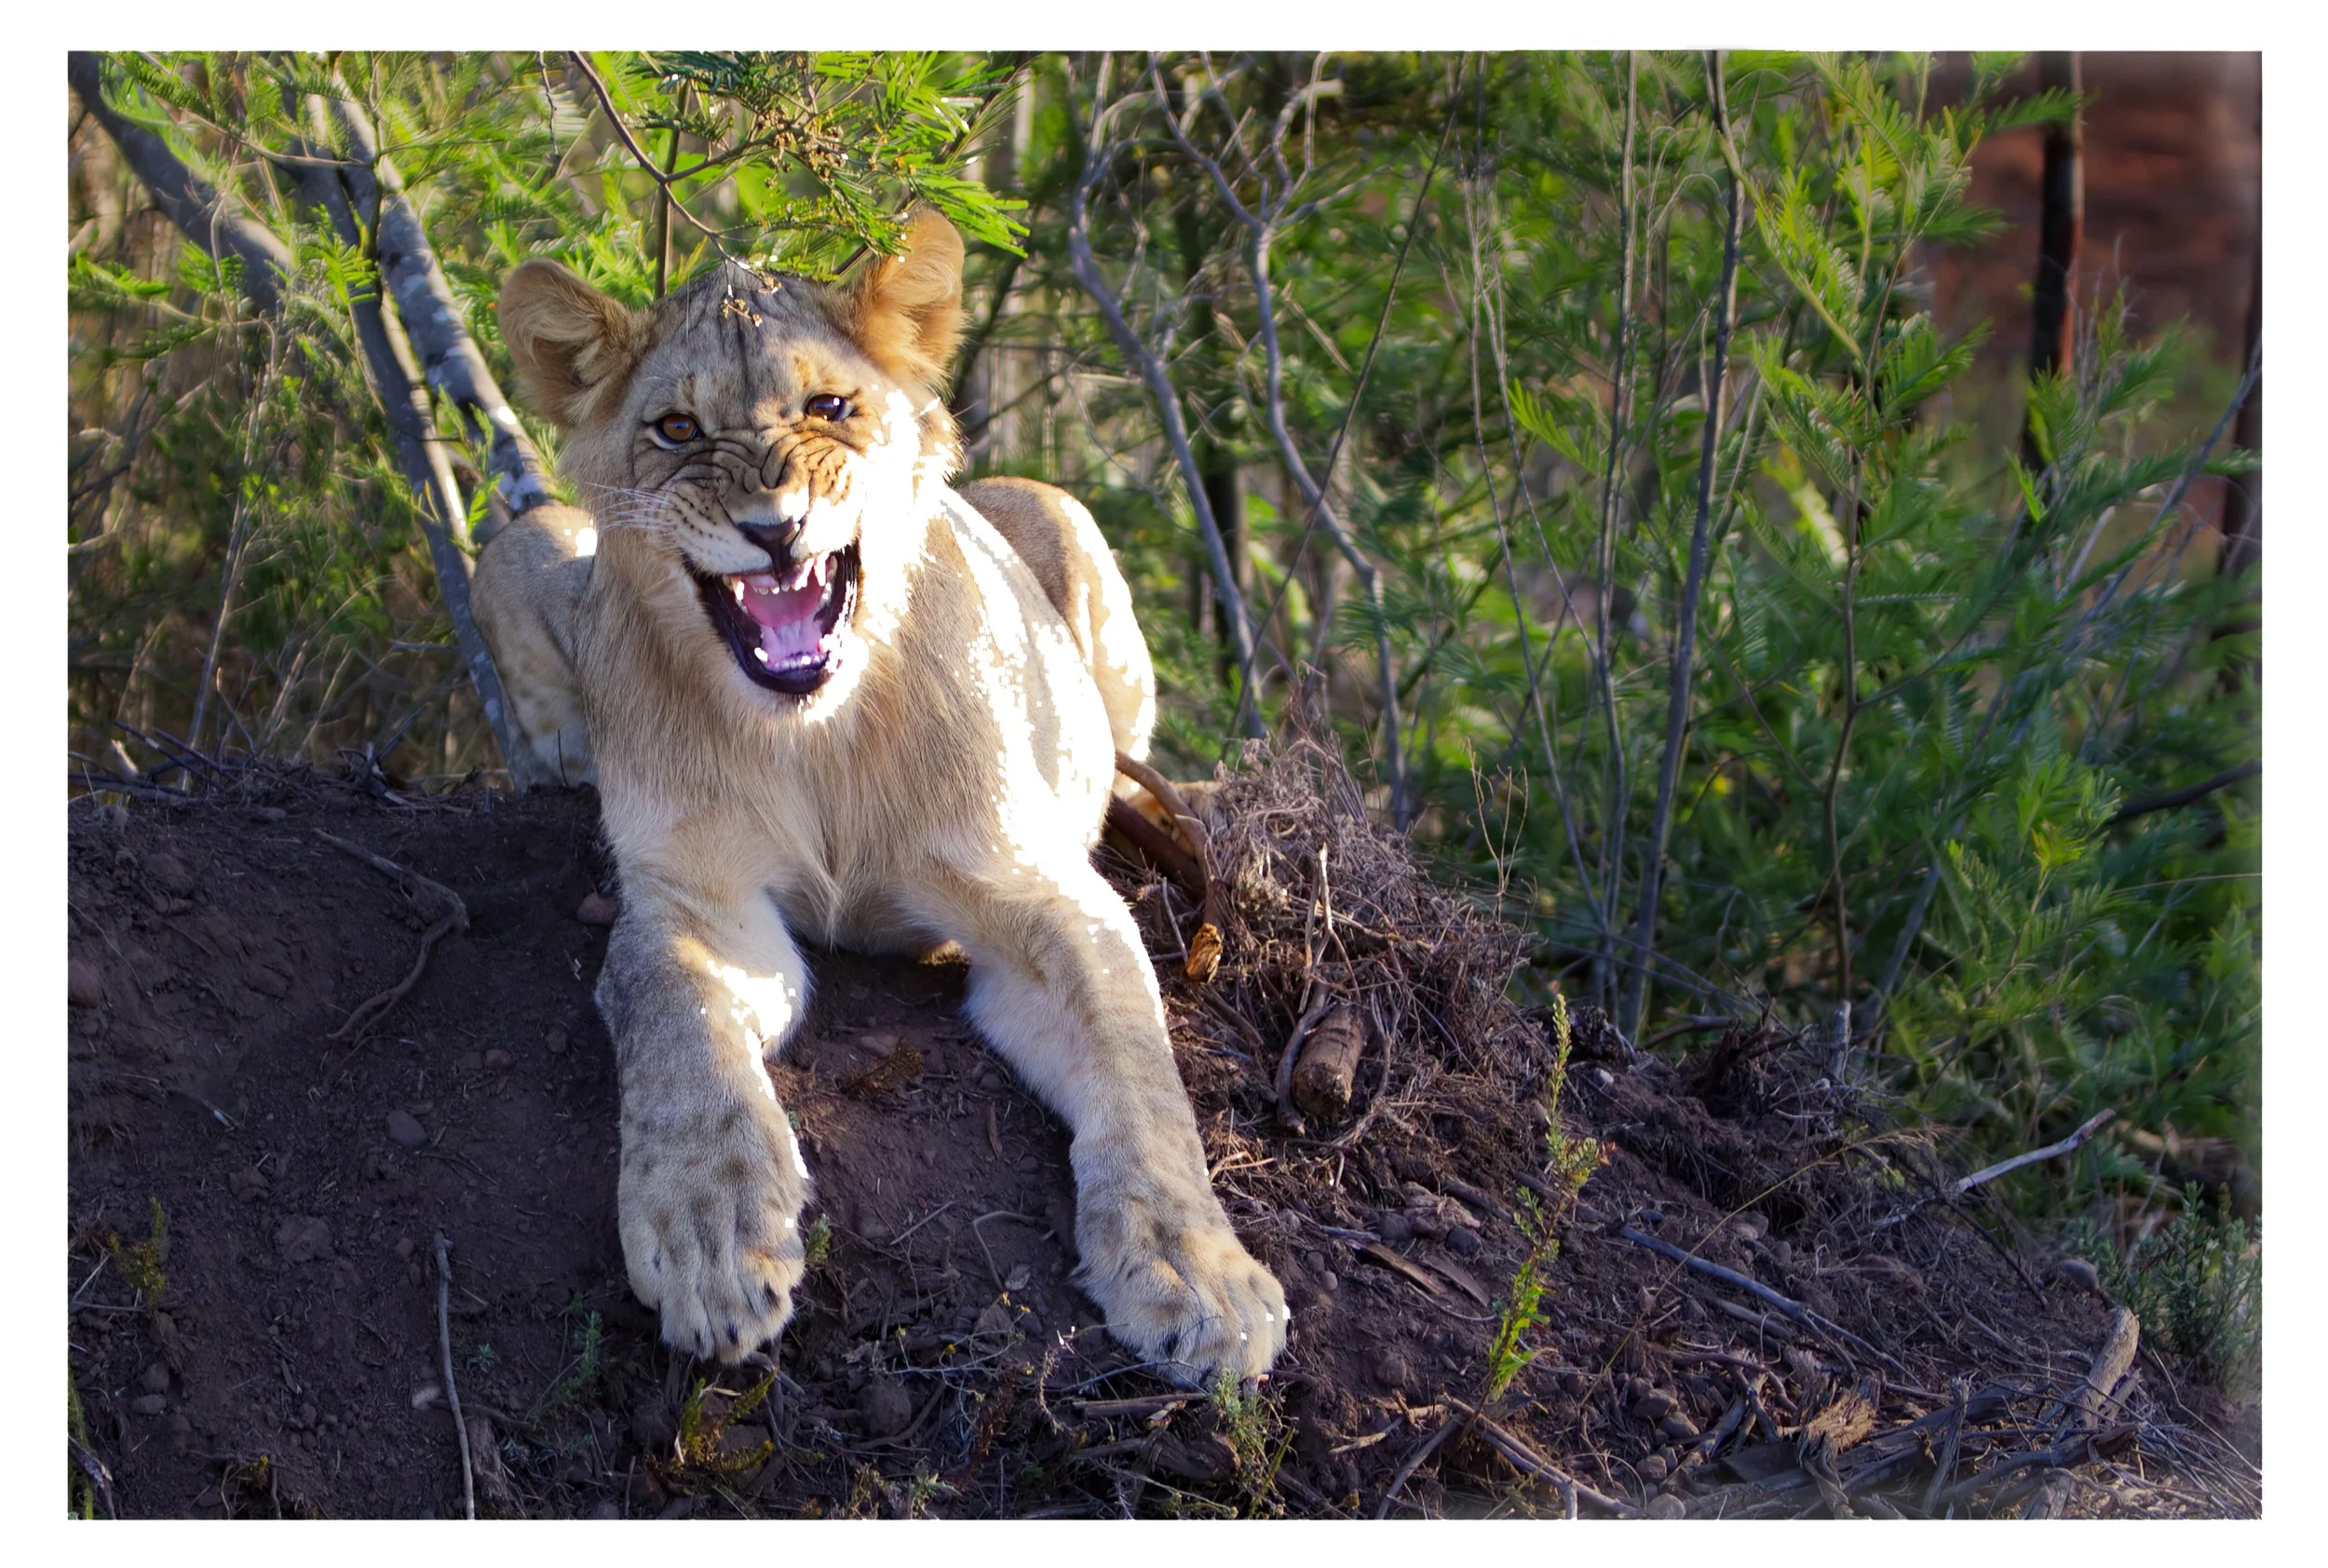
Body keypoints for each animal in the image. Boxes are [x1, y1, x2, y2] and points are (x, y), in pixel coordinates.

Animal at [473, 210, 1286, 1386]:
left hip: (1057, 513)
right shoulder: (699, 904)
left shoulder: (1044, 893)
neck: (816, 736)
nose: (773, 526)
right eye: (675, 428)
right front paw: (710, 1236)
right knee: (511, 548)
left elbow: (1142, 1075)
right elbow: (673, 1023)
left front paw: (1199, 1278)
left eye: (828, 409)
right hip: (533, 553)